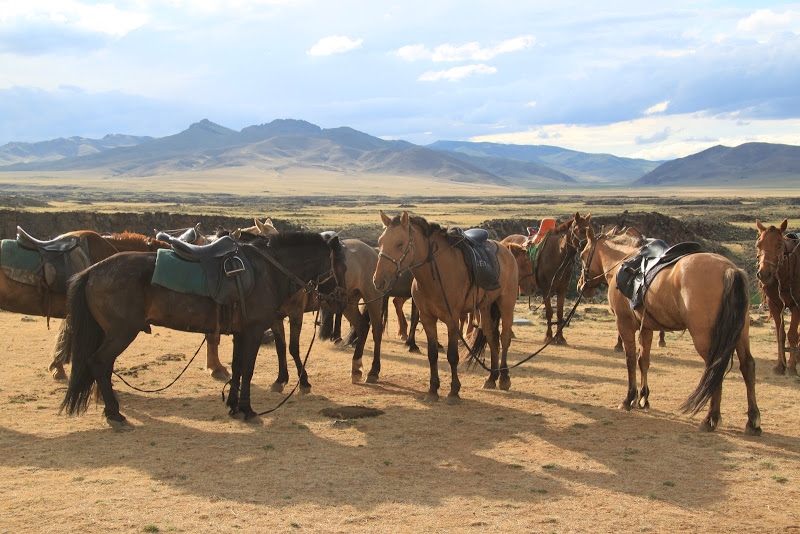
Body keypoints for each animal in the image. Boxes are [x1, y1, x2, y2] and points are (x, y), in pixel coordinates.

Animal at [56, 231, 344, 432]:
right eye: (340, 265)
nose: (340, 299)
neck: (268, 271)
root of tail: (92, 270)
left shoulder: (240, 332)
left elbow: (238, 367)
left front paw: (233, 406)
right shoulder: (253, 331)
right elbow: (248, 368)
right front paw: (248, 410)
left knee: (101, 366)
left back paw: (112, 411)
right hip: (121, 333)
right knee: (99, 363)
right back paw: (115, 413)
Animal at [376, 211, 520, 404]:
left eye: (399, 243)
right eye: (379, 242)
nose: (378, 281)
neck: (436, 275)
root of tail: (505, 248)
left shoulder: (452, 320)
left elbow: (452, 356)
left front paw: (454, 391)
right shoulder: (427, 319)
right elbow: (432, 354)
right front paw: (432, 390)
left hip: (506, 303)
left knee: (504, 339)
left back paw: (504, 378)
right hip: (485, 307)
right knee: (492, 337)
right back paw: (491, 378)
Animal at [580, 224, 760, 438]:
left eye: (582, 255)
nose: (581, 285)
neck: (622, 262)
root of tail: (729, 269)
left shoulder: (624, 324)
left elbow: (630, 360)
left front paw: (629, 398)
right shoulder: (646, 327)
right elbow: (643, 361)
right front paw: (643, 398)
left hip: (705, 337)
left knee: (714, 368)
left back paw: (710, 419)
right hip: (740, 333)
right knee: (747, 366)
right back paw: (752, 421)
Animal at [752, 218, 796, 376]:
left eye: (779, 245)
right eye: (758, 245)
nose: (764, 274)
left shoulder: (796, 306)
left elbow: (792, 334)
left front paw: (791, 366)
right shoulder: (775, 306)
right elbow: (780, 335)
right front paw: (779, 366)